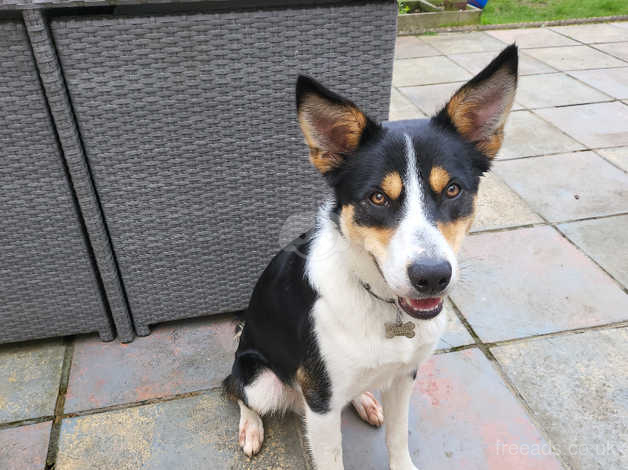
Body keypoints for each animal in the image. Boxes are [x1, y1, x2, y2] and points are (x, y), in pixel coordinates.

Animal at [223, 44, 516, 470]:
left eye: (453, 190)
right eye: (378, 197)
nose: (432, 276)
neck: (384, 306)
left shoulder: (405, 376)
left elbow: (398, 436)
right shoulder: (321, 402)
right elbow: (331, 457)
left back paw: (363, 399)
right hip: (261, 377)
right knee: (235, 390)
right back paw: (250, 427)